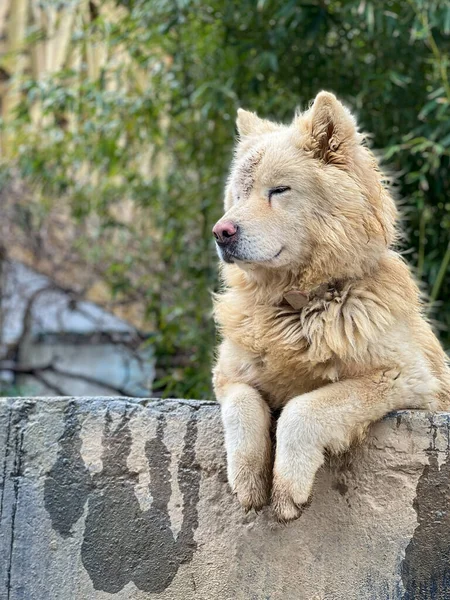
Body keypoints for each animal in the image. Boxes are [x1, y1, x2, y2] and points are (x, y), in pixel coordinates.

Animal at [211, 91, 450, 524]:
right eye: (238, 194)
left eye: (279, 190)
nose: (221, 232)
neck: (299, 304)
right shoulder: (228, 374)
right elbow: (242, 407)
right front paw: (249, 479)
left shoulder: (407, 379)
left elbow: (304, 409)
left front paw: (288, 487)